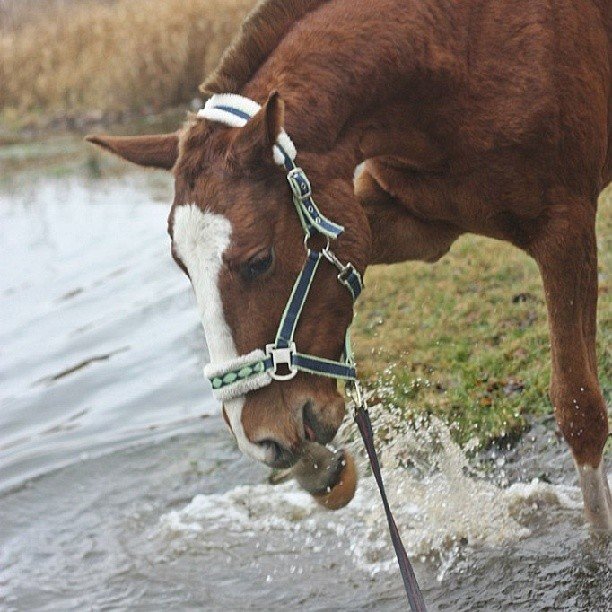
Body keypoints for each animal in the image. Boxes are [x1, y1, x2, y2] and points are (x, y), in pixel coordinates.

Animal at [88, 0, 608, 532]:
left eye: (260, 261)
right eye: (182, 266)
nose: (259, 437)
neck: (458, 55)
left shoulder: (564, 229)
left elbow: (579, 408)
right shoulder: (414, 223)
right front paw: (317, 469)